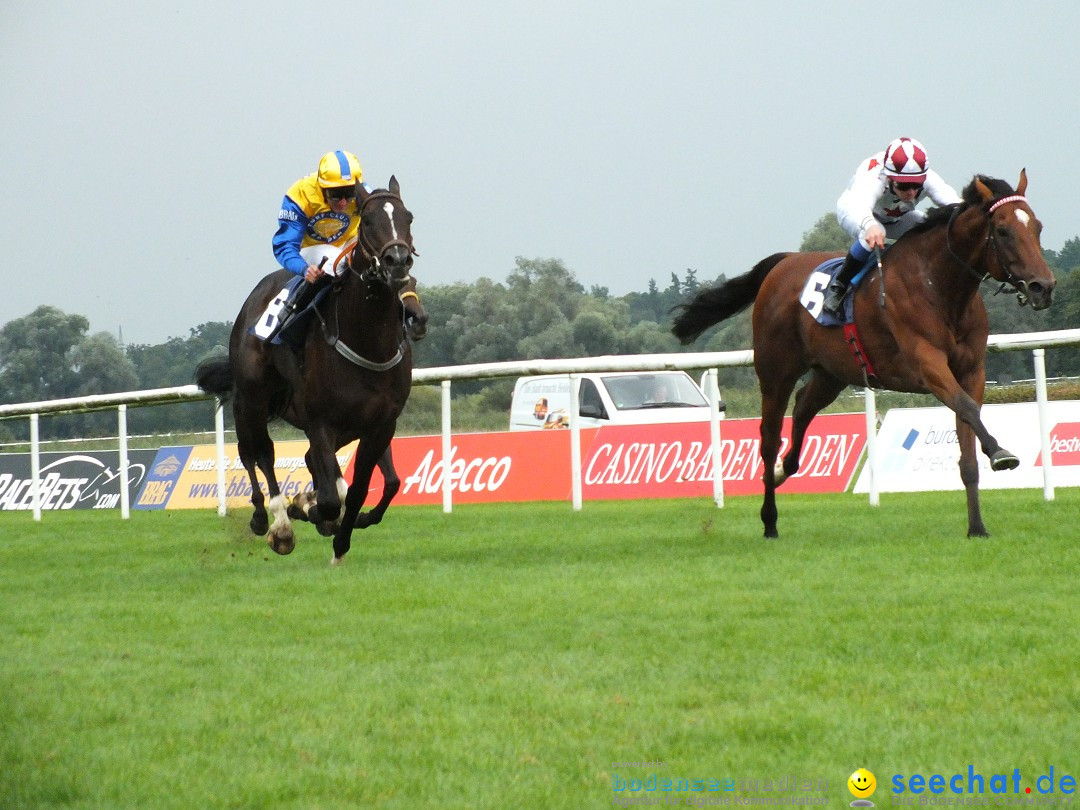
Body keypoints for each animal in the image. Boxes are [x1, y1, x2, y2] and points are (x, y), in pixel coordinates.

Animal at [196, 177, 423, 565]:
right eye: (369, 220)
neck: (367, 341)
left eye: (407, 217)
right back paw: (272, 520)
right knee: (256, 452)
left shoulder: (381, 424)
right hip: (251, 399)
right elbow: (330, 499)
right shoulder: (320, 421)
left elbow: (366, 487)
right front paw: (308, 510)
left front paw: (340, 540)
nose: (398, 261)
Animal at [673, 171, 1054, 540]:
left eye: (1037, 226)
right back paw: (769, 519)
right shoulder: (927, 365)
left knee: (803, 406)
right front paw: (1001, 452)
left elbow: (968, 444)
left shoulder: (972, 371)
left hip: (832, 373)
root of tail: (784, 262)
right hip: (775, 372)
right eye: (1002, 231)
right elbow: (967, 407)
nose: (1043, 287)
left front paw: (977, 526)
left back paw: (785, 468)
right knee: (769, 437)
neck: (941, 287)